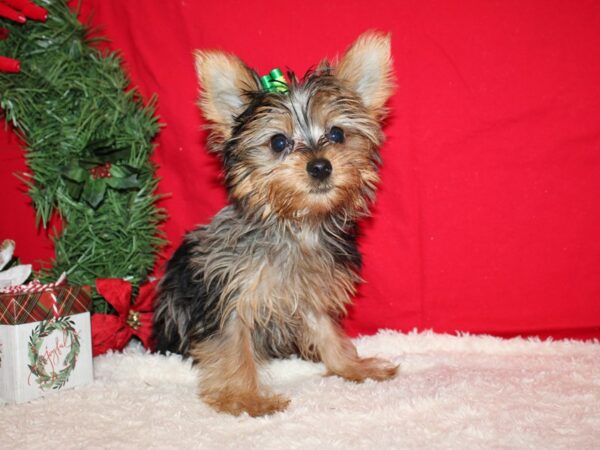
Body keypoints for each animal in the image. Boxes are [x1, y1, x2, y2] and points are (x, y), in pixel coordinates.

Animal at [155, 31, 398, 416]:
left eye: (337, 134)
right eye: (278, 142)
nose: (320, 166)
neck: (296, 225)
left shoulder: (310, 294)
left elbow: (327, 331)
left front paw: (352, 367)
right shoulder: (227, 294)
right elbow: (233, 348)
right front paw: (246, 397)